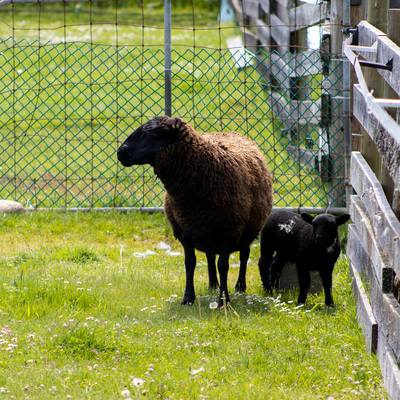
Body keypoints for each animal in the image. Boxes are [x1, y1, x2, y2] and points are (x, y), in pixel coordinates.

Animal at [115, 115, 274, 306]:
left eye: (149, 133)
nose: (120, 153)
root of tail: (227, 131)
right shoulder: (185, 231)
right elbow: (190, 263)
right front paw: (188, 298)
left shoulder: (229, 232)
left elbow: (223, 265)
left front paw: (224, 300)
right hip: (207, 231)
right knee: (210, 256)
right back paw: (212, 284)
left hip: (247, 230)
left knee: (244, 255)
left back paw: (239, 286)